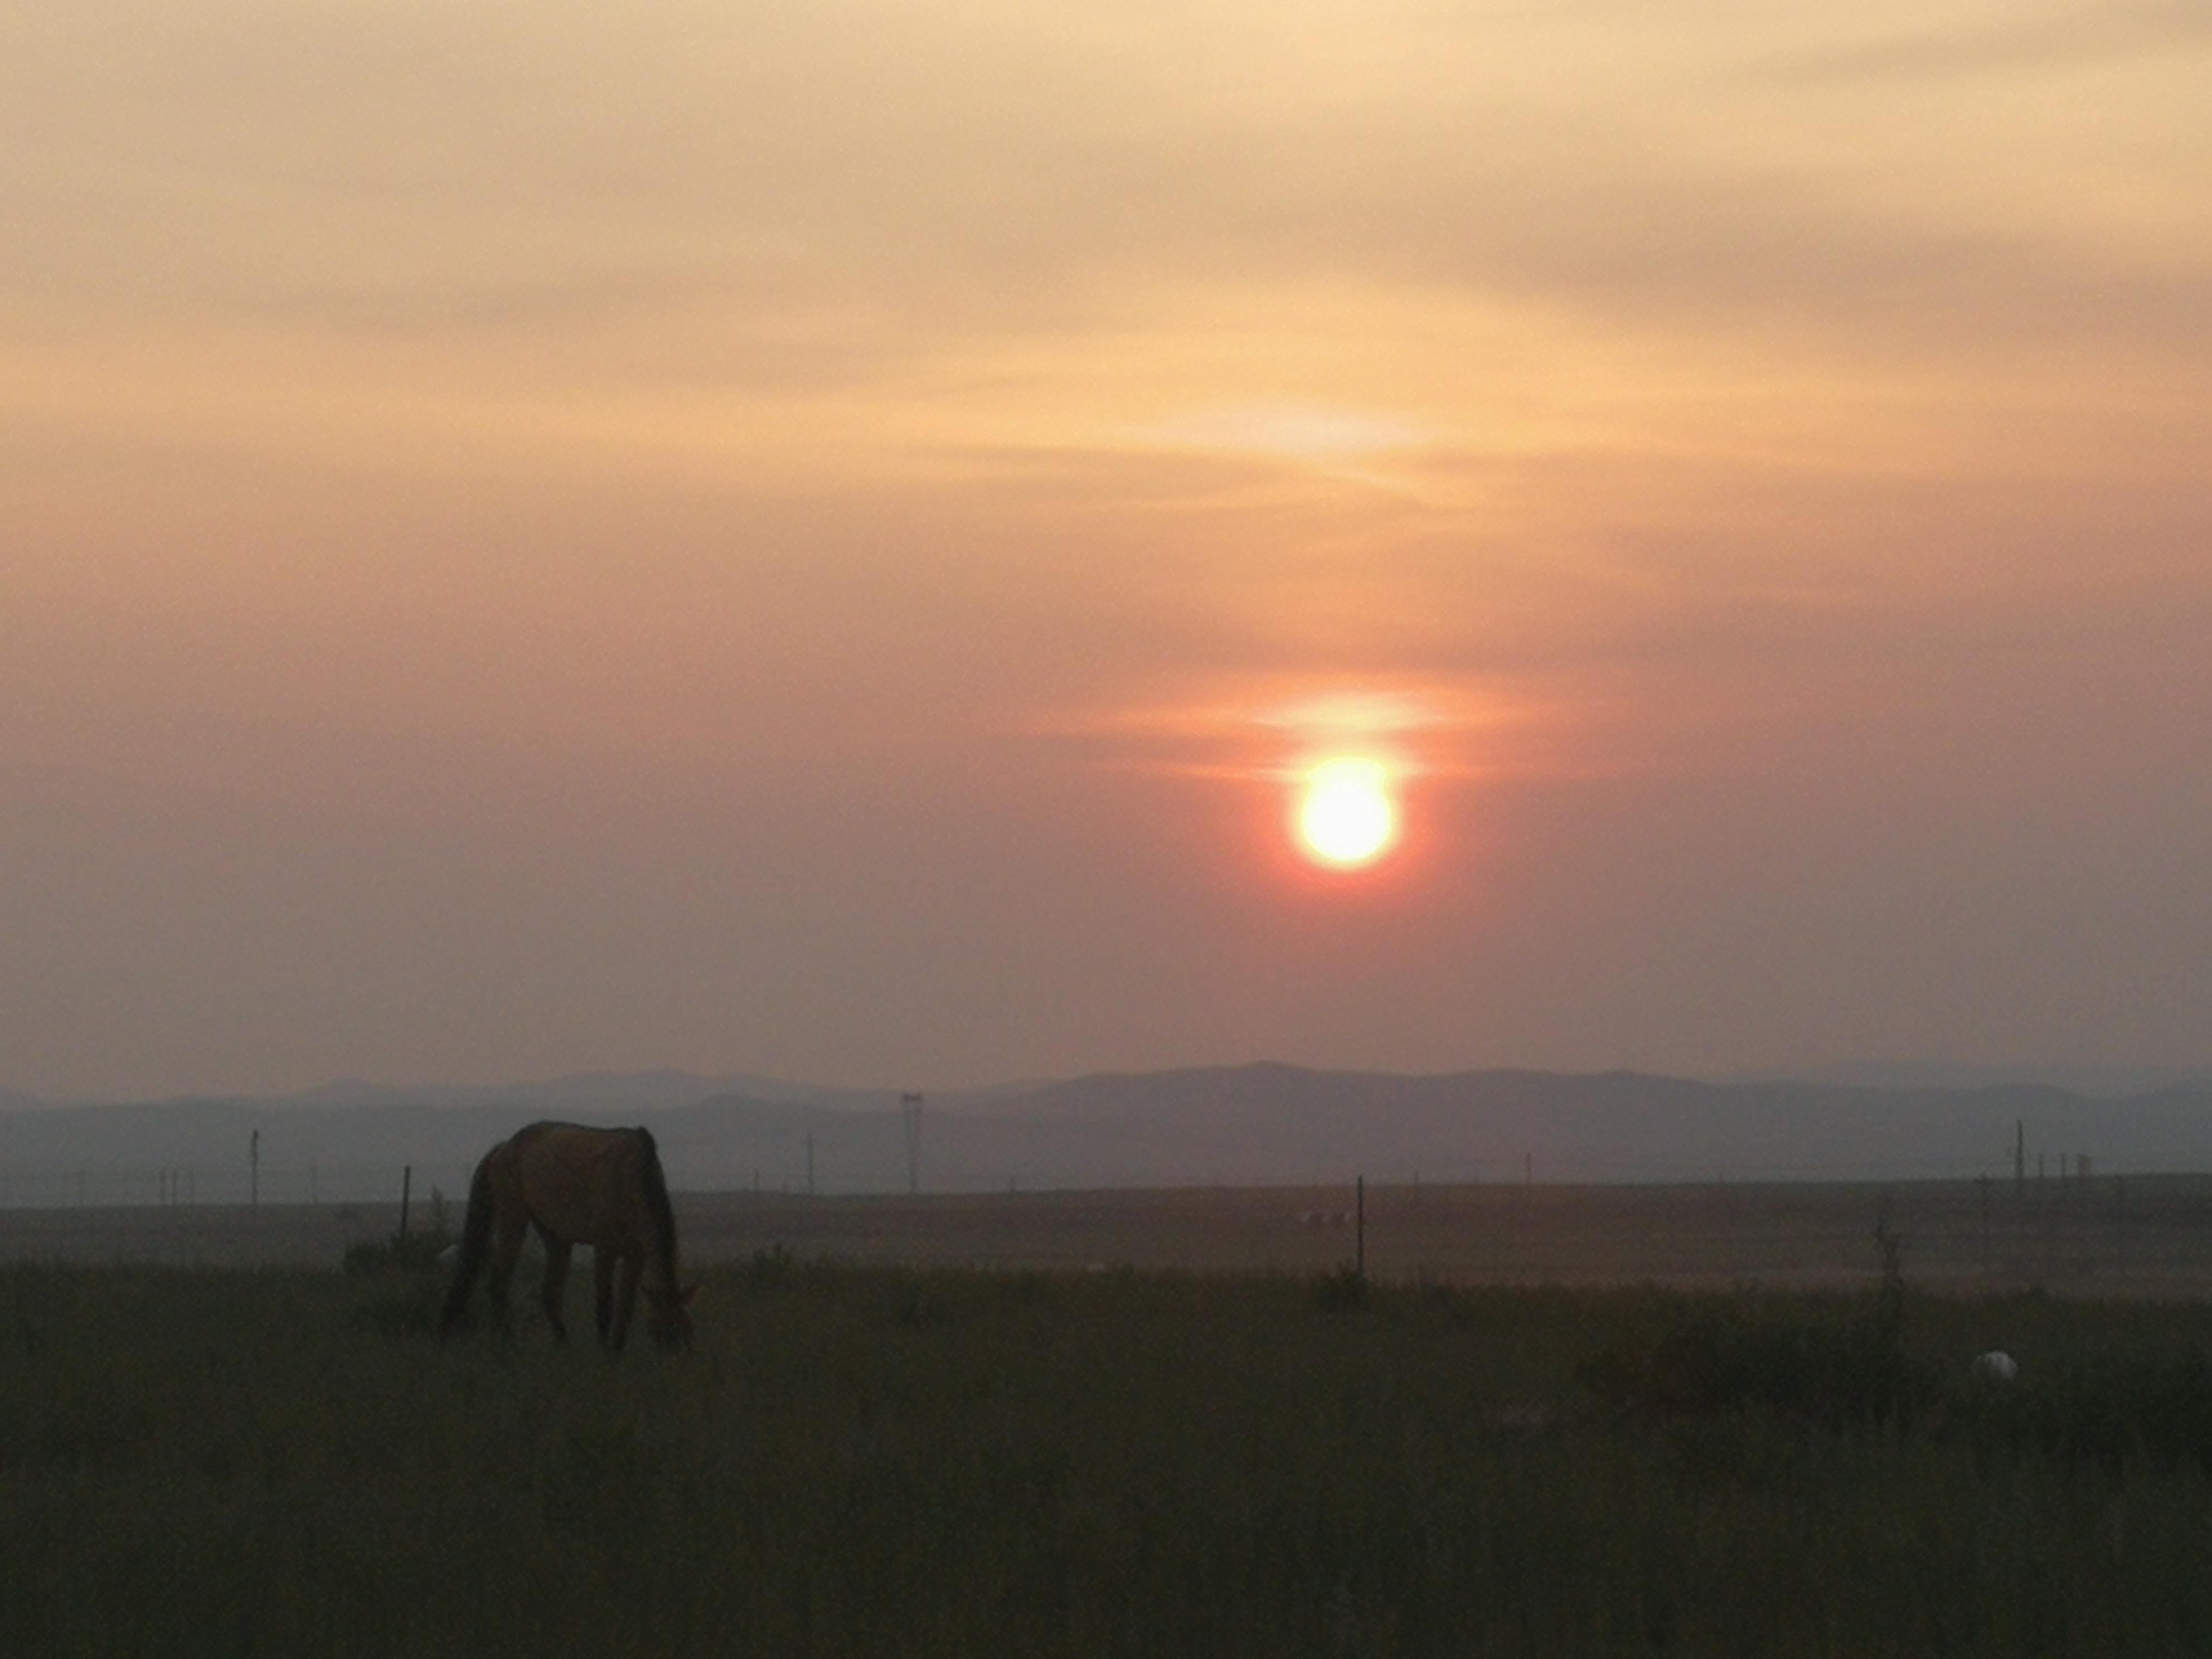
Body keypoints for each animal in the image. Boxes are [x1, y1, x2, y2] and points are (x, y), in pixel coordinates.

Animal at [435, 1123, 694, 1354]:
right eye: (660, 1330)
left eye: (687, 1330)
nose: (674, 1359)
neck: (631, 1178)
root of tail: (503, 1149)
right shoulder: (604, 1250)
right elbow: (605, 1305)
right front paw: (605, 1353)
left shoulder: (636, 1257)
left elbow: (626, 1307)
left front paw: (617, 1350)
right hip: (513, 1222)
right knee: (499, 1284)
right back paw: (510, 1343)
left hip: (556, 1238)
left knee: (550, 1294)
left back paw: (563, 1345)